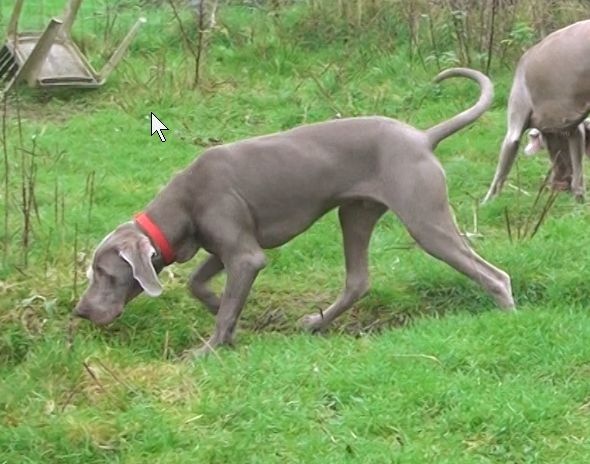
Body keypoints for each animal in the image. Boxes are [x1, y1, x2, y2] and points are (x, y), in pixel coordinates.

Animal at [74, 68, 516, 356]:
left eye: (104, 274)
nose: (80, 312)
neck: (185, 199)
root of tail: (423, 137)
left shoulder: (245, 255)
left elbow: (228, 291)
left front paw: (209, 349)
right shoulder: (224, 246)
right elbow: (199, 284)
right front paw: (229, 315)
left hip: (425, 217)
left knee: (493, 274)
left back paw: (508, 316)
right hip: (355, 213)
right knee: (358, 280)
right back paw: (316, 323)